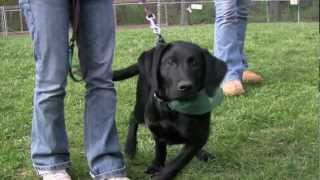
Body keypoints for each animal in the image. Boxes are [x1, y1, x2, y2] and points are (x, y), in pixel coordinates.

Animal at [114, 41, 226, 179]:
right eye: (170, 62)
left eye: (195, 64)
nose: (186, 86)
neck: (173, 108)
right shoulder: (156, 128)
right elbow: (160, 150)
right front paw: (156, 166)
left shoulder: (198, 138)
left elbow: (176, 163)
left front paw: (162, 175)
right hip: (142, 102)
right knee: (133, 117)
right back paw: (130, 148)